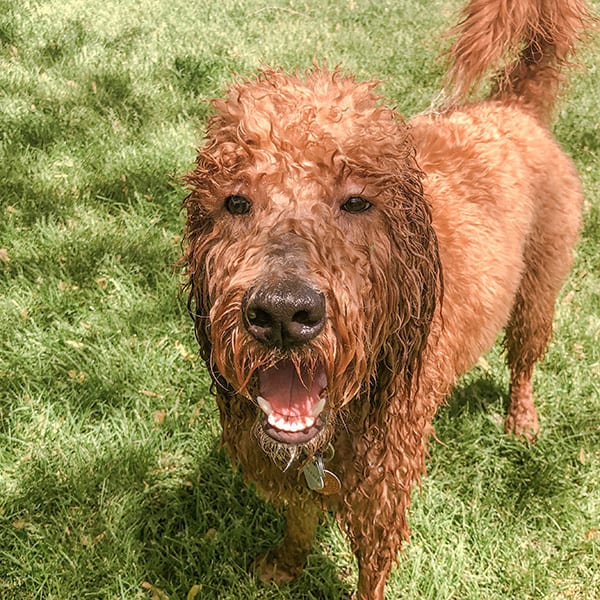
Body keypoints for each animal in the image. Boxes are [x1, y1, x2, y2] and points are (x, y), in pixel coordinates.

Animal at [180, 1, 592, 596]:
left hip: (538, 290)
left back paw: (521, 420)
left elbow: (372, 571)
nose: (282, 313)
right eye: (236, 202)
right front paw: (288, 563)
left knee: (524, 362)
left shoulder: (383, 490)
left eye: (357, 202)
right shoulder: (304, 468)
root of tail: (512, 106)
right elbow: (300, 516)